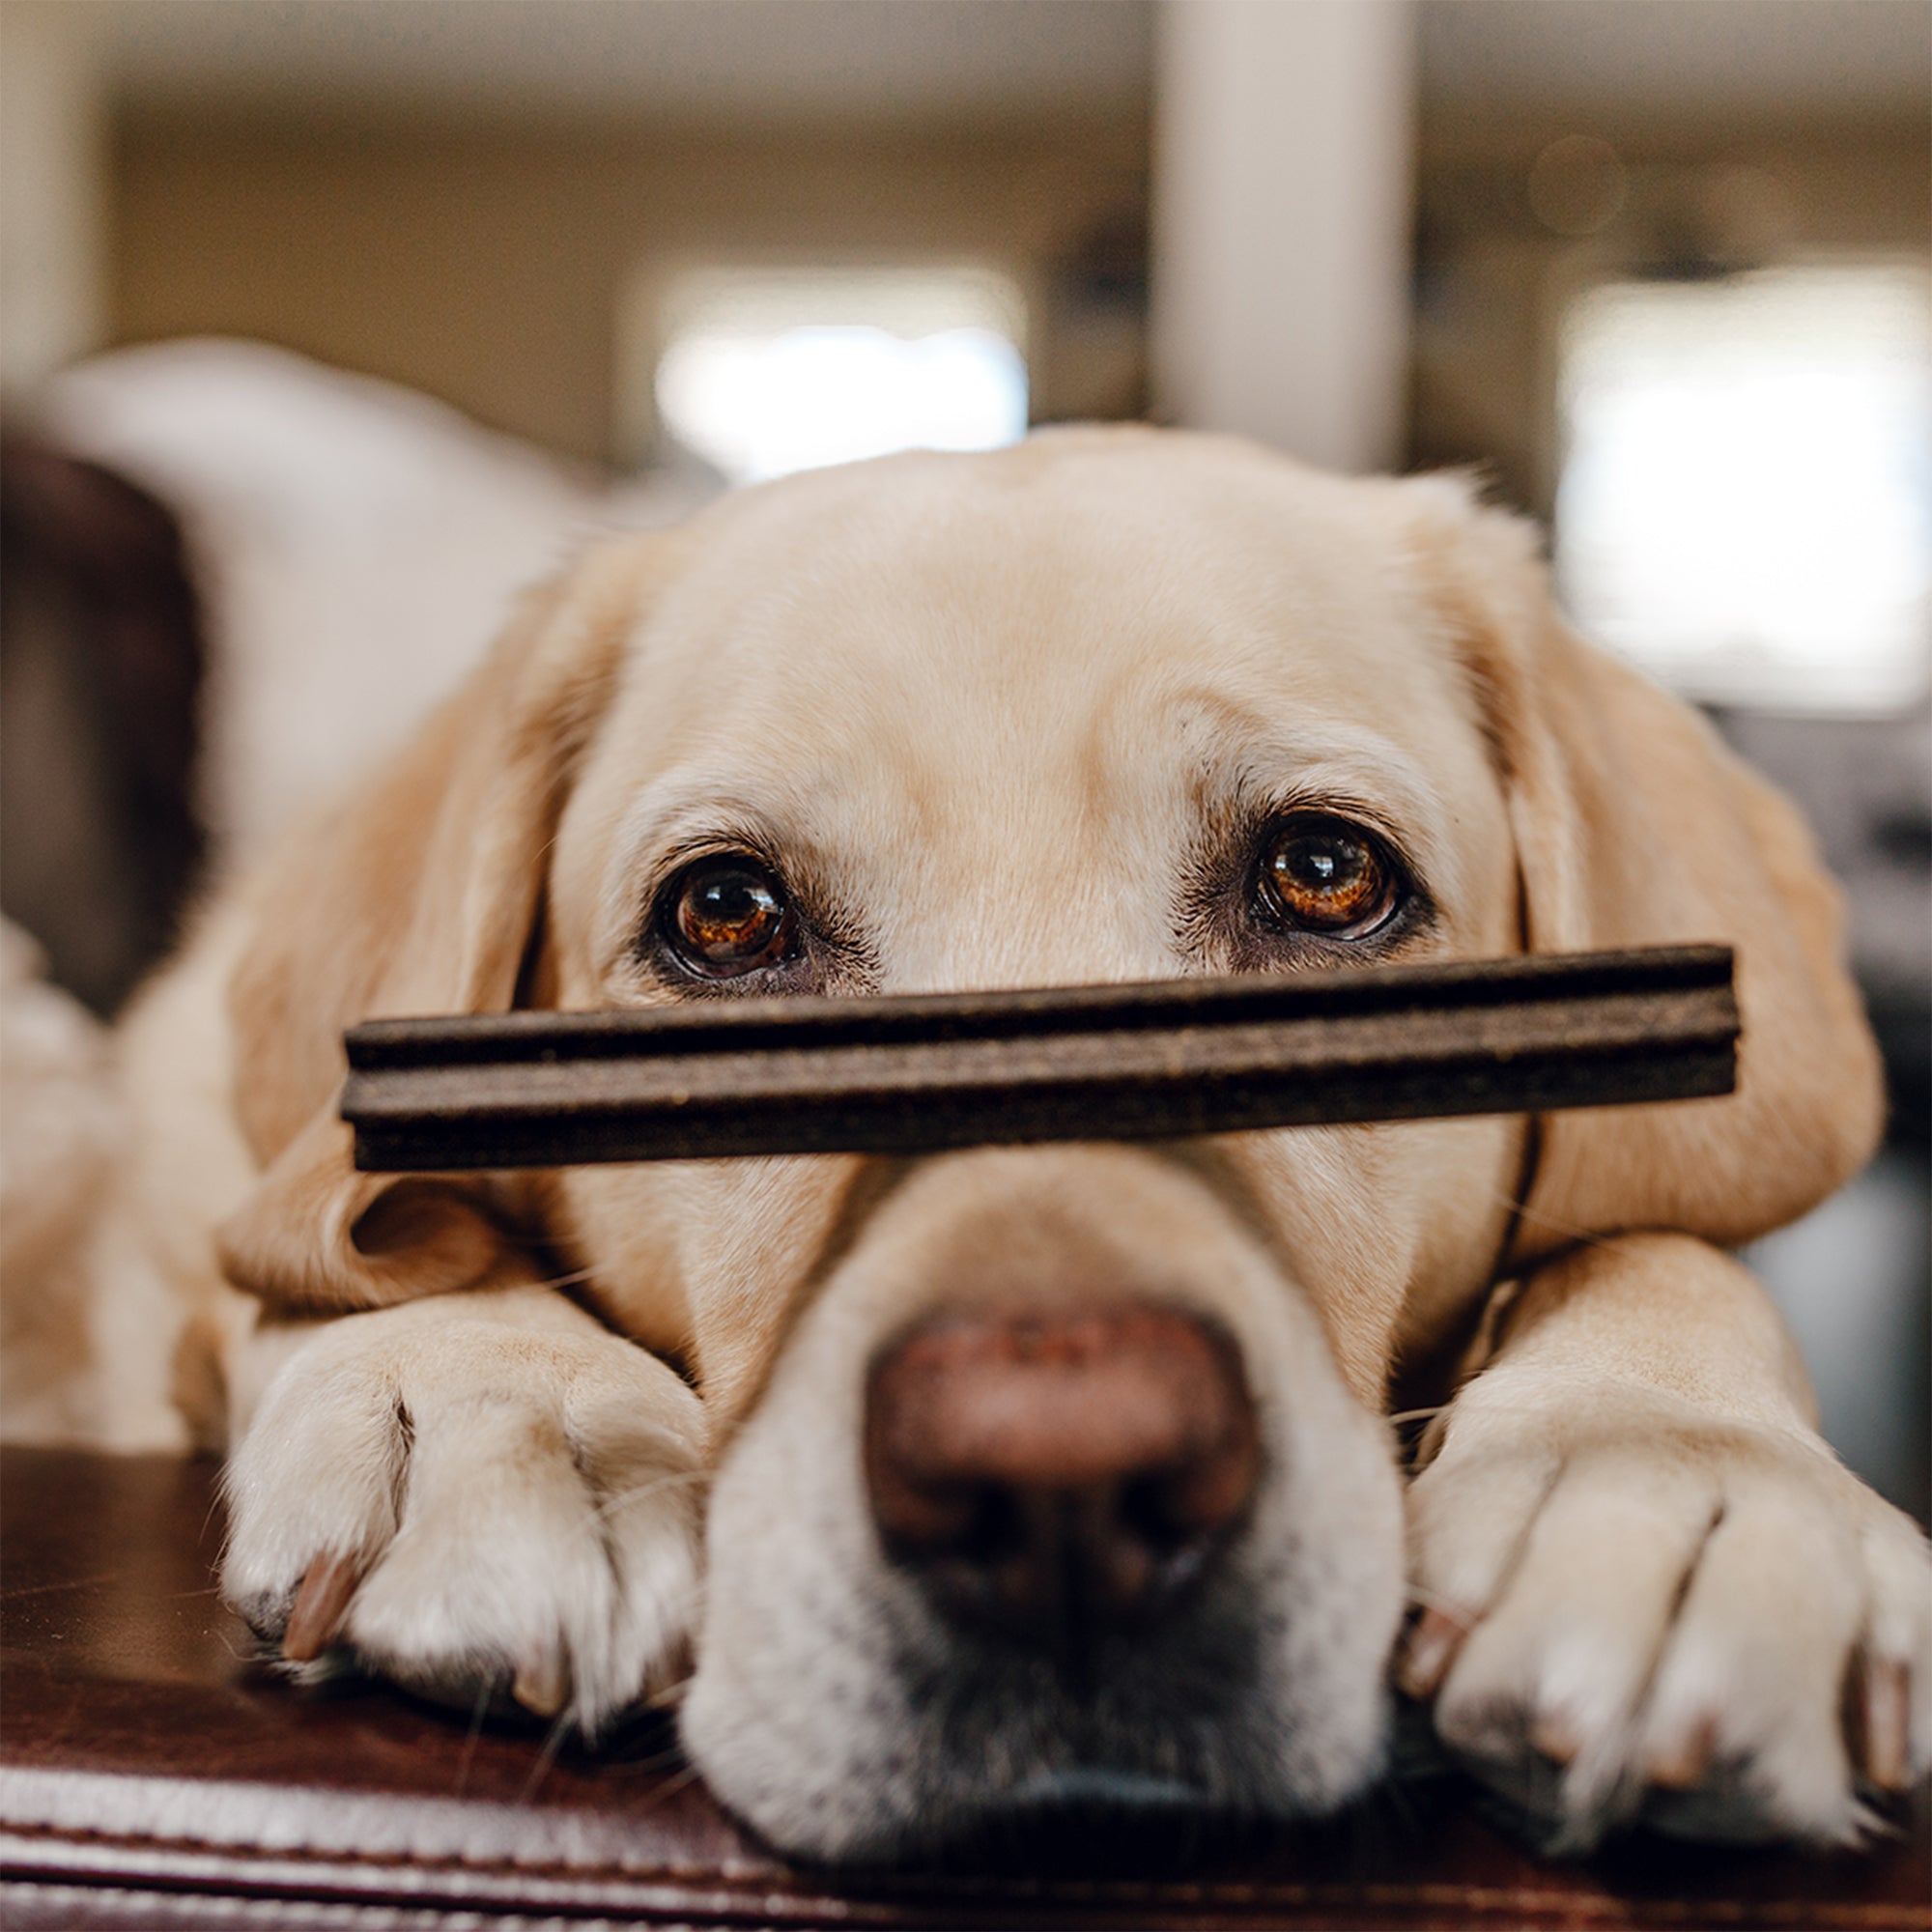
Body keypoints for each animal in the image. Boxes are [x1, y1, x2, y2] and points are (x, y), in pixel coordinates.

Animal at [98, 427, 1924, 1855]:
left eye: (1325, 878)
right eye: (727, 916)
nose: (1062, 1491)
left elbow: (1660, 1235)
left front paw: (1672, 1470)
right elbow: (351, 1246)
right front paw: (506, 1410)